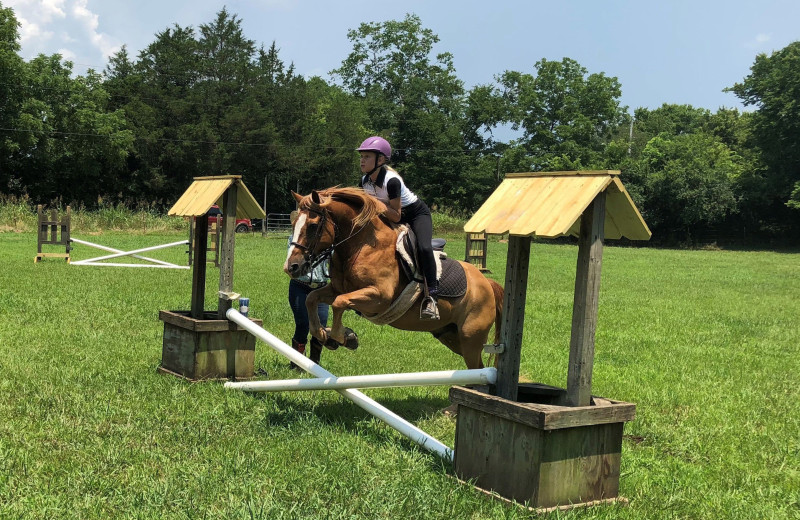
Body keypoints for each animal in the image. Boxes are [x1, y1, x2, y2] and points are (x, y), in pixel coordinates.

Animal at [284, 187, 504, 370]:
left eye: (313, 226)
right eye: (293, 223)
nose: (291, 267)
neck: (360, 245)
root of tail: (487, 284)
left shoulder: (378, 297)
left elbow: (339, 303)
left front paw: (343, 337)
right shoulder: (338, 289)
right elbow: (311, 298)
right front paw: (325, 335)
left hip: (470, 338)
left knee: (477, 369)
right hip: (450, 336)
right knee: (477, 369)